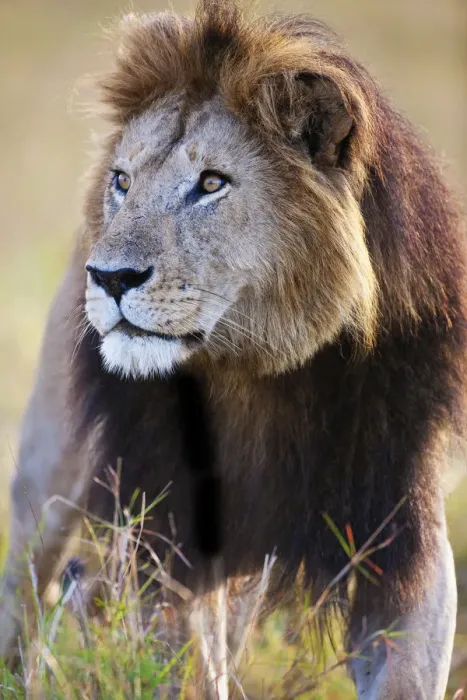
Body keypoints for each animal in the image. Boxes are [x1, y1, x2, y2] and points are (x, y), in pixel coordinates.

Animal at [1, 1, 465, 698]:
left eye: (212, 183)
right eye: (122, 181)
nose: (108, 277)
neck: (263, 370)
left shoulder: (402, 530)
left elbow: (403, 667)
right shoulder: (170, 528)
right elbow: (183, 662)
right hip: (50, 468)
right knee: (27, 583)